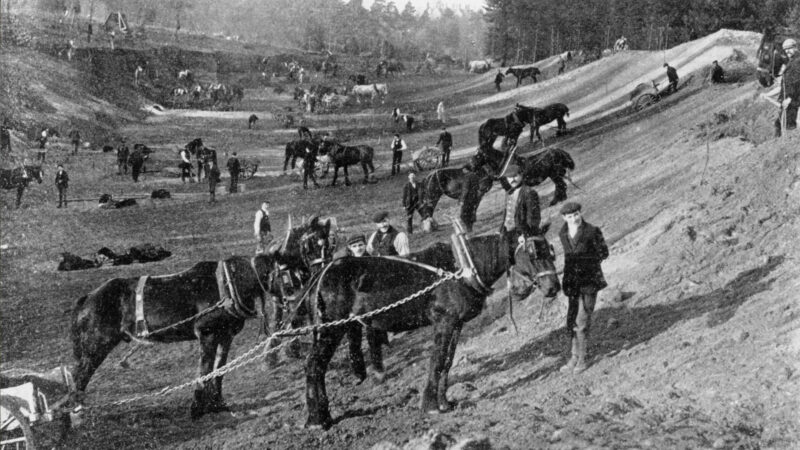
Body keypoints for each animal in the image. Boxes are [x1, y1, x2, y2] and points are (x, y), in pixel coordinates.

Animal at [302, 229, 564, 428]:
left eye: (550, 251)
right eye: (533, 254)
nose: (553, 287)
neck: (462, 268)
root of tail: (321, 275)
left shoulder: (456, 323)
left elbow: (447, 362)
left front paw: (444, 402)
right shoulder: (443, 322)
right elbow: (436, 361)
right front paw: (430, 406)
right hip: (331, 330)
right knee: (315, 366)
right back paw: (318, 419)